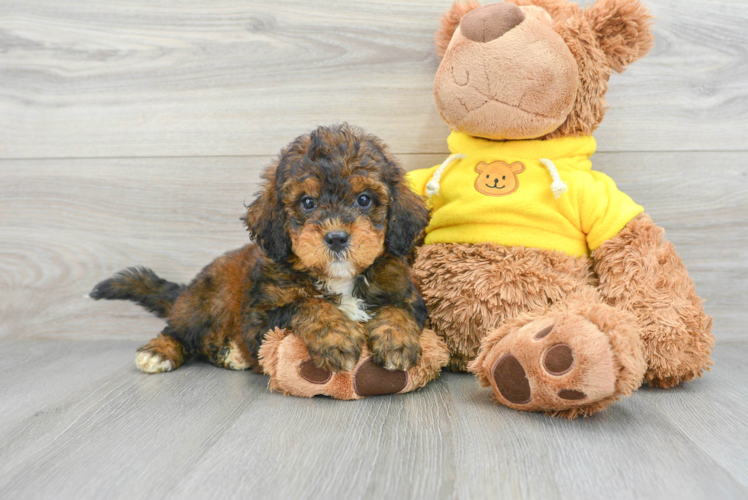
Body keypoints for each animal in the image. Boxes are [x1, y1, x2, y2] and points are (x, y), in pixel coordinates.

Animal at [92, 125, 432, 376]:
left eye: (364, 200)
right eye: (307, 202)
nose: (336, 238)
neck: (339, 278)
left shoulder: (407, 294)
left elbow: (398, 310)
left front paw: (396, 341)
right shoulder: (260, 319)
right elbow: (308, 305)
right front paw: (337, 337)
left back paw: (231, 355)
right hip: (209, 302)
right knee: (180, 330)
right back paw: (159, 352)